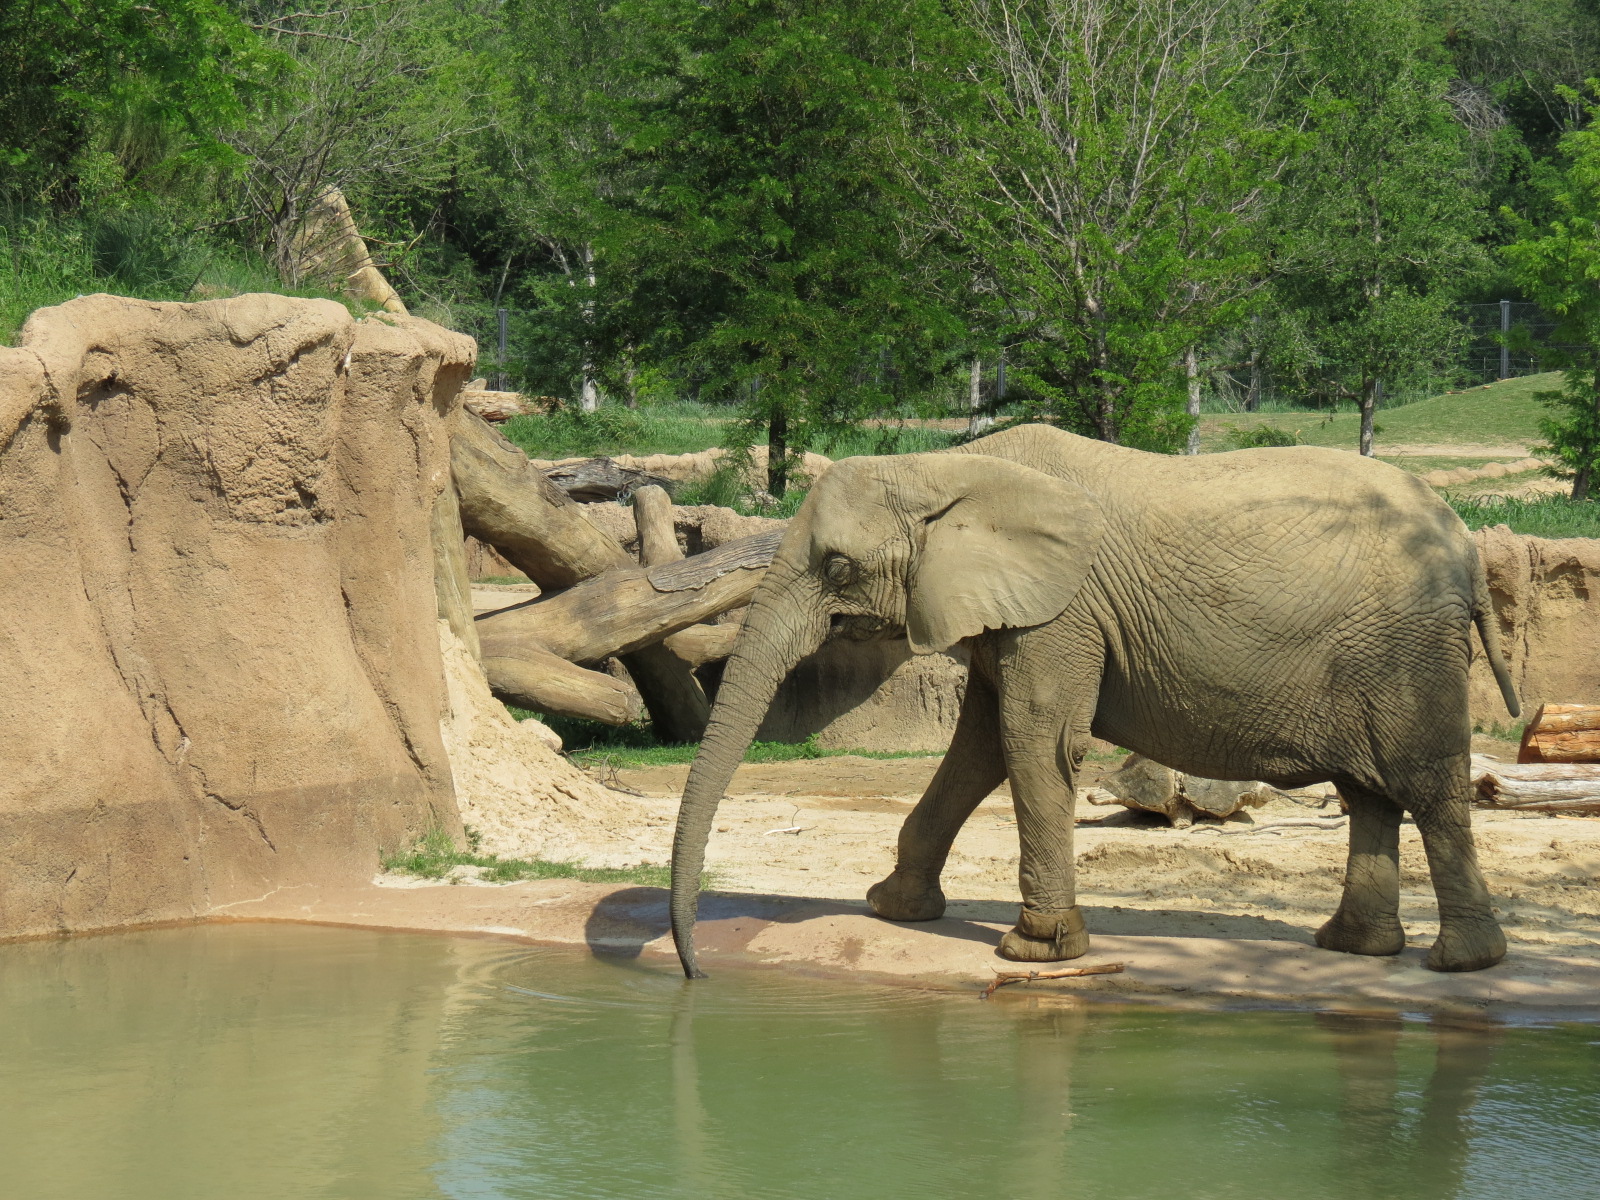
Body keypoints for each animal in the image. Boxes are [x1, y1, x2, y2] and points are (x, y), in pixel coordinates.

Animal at [668, 424, 1520, 978]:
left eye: (838, 569)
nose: (695, 973)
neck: (944, 468)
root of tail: (1466, 546)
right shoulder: (1018, 613)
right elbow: (982, 746)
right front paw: (891, 908)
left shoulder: (1063, 610)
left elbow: (1034, 740)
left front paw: (1035, 951)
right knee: (1369, 789)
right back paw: (1353, 947)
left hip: (1404, 649)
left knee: (1426, 786)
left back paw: (1461, 963)